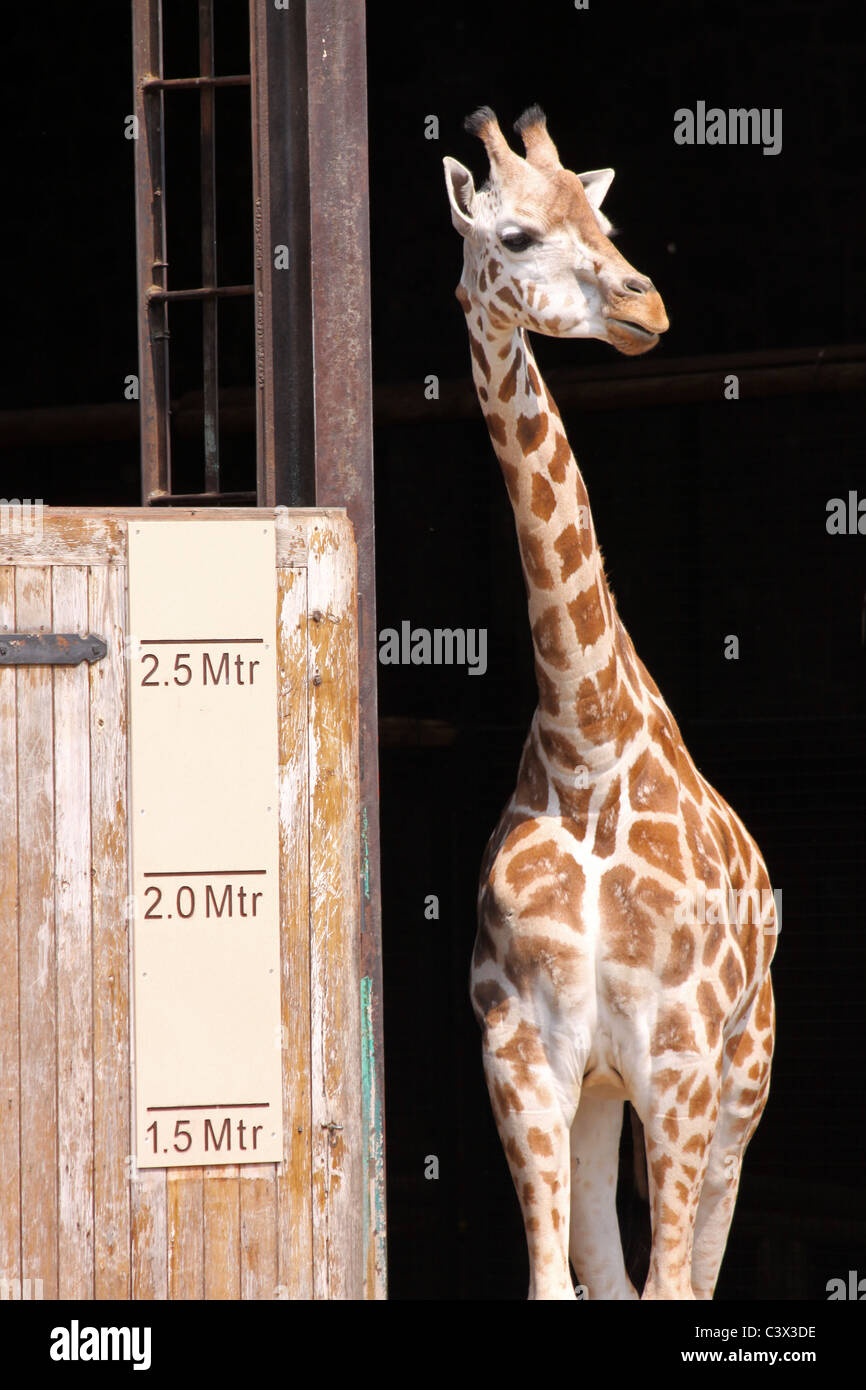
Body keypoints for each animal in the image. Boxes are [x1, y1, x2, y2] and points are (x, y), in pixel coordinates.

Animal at [447, 108, 778, 1301]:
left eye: (606, 225)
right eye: (514, 237)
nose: (646, 306)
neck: (584, 744)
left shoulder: (679, 1053)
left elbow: (674, 1285)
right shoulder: (525, 1052)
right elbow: (562, 1282)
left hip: (744, 1073)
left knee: (702, 1255)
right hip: (600, 1096)